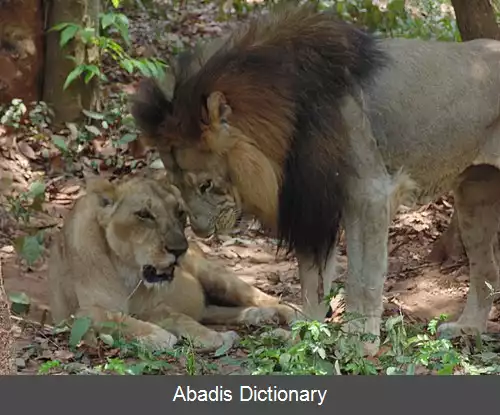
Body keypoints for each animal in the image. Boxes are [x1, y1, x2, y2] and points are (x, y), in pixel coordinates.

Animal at [47, 176, 296, 352]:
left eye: (180, 212)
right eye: (144, 214)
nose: (179, 250)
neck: (127, 271)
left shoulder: (153, 307)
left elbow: (180, 317)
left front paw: (216, 337)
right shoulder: (79, 313)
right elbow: (116, 318)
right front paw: (158, 336)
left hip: (214, 276)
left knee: (256, 296)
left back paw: (286, 314)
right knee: (210, 310)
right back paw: (258, 316)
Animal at [132, 3, 500, 356]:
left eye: (206, 184)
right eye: (178, 186)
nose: (200, 232)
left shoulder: (368, 194)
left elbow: (362, 279)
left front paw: (360, 344)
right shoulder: (309, 203)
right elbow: (310, 281)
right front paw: (303, 337)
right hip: (474, 196)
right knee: (486, 270)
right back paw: (467, 329)